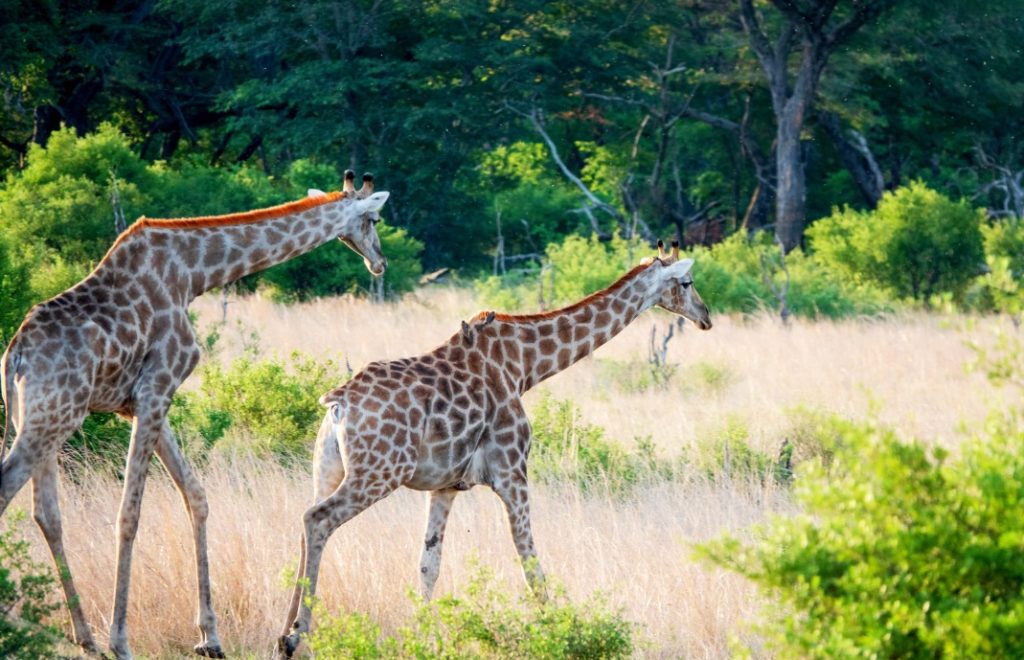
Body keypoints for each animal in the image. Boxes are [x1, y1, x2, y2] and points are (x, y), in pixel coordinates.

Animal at [0, 171, 390, 659]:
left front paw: (209, 636)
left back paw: (83, 636)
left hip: (40, 419)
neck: (192, 274)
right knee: (10, 491)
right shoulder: (157, 386)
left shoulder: (140, 401)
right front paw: (121, 640)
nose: (380, 262)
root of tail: (15, 354)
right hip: (54, 416)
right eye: (374, 219)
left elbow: (196, 496)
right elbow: (130, 513)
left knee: (46, 512)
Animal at [276, 241, 712, 657]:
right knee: (317, 519)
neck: (524, 367)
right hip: (379, 472)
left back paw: (283, 637)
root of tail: (338, 405)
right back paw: (299, 635)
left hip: (328, 469)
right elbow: (529, 558)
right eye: (687, 282)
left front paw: (421, 636)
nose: (706, 316)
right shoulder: (512, 471)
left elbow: (428, 564)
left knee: (304, 527)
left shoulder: (445, 486)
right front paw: (557, 631)